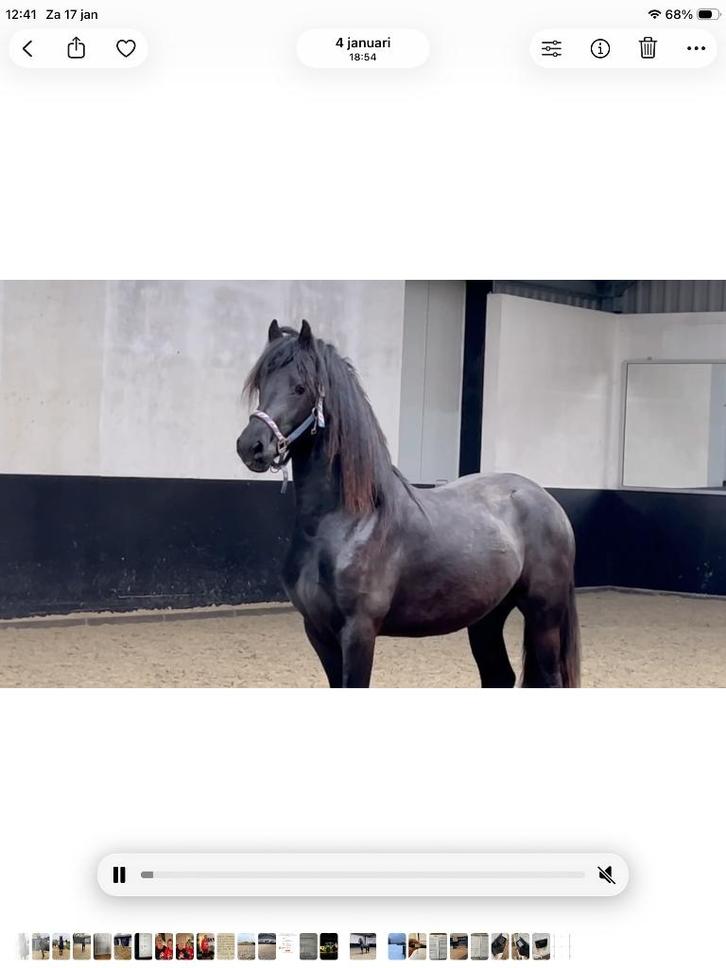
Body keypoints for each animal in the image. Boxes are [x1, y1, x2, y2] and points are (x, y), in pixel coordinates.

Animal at [236, 319, 581, 688]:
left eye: (300, 388)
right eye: (261, 384)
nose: (251, 446)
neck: (346, 522)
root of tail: (548, 501)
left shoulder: (358, 632)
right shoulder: (318, 632)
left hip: (543, 617)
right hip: (487, 617)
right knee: (499, 675)